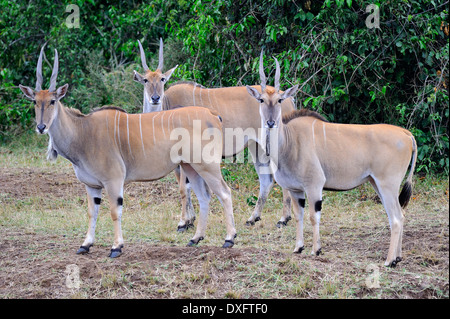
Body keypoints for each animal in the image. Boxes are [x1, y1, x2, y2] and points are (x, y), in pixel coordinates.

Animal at [18, 45, 236, 258]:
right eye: (35, 102)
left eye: (53, 101)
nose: (41, 127)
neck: (83, 132)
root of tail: (213, 115)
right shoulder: (91, 185)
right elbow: (92, 212)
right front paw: (85, 244)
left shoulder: (113, 180)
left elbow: (115, 211)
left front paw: (116, 247)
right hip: (191, 167)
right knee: (204, 197)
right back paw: (196, 238)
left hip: (207, 166)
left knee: (224, 193)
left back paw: (229, 239)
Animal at [246, 54, 418, 268]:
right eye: (261, 99)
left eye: (279, 100)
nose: (270, 122)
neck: (289, 141)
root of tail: (406, 134)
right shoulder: (295, 190)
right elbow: (298, 216)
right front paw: (298, 248)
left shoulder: (314, 185)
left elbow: (313, 216)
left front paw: (316, 250)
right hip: (378, 184)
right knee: (399, 215)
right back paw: (398, 256)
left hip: (388, 185)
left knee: (396, 218)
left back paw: (389, 261)